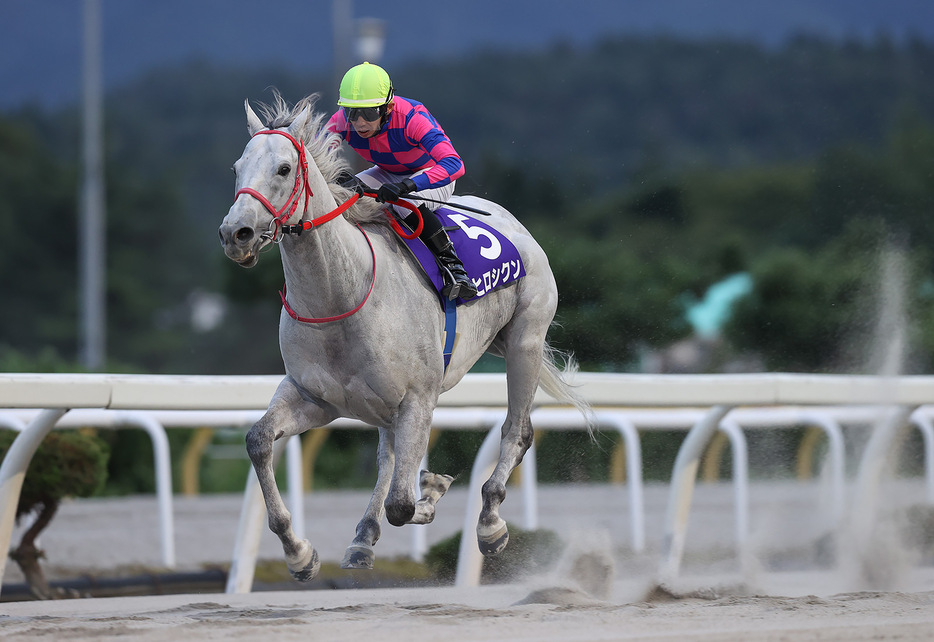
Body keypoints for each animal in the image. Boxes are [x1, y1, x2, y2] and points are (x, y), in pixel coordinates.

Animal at [218, 95, 592, 580]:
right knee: (388, 456)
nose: (235, 234)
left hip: (524, 341)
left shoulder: (418, 398)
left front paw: (431, 491)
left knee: (517, 431)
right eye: (237, 167)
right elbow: (259, 441)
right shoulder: (314, 398)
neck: (341, 292)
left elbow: (403, 504)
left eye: (283, 169)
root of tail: (512, 222)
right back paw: (362, 538)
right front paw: (299, 553)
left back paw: (490, 524)